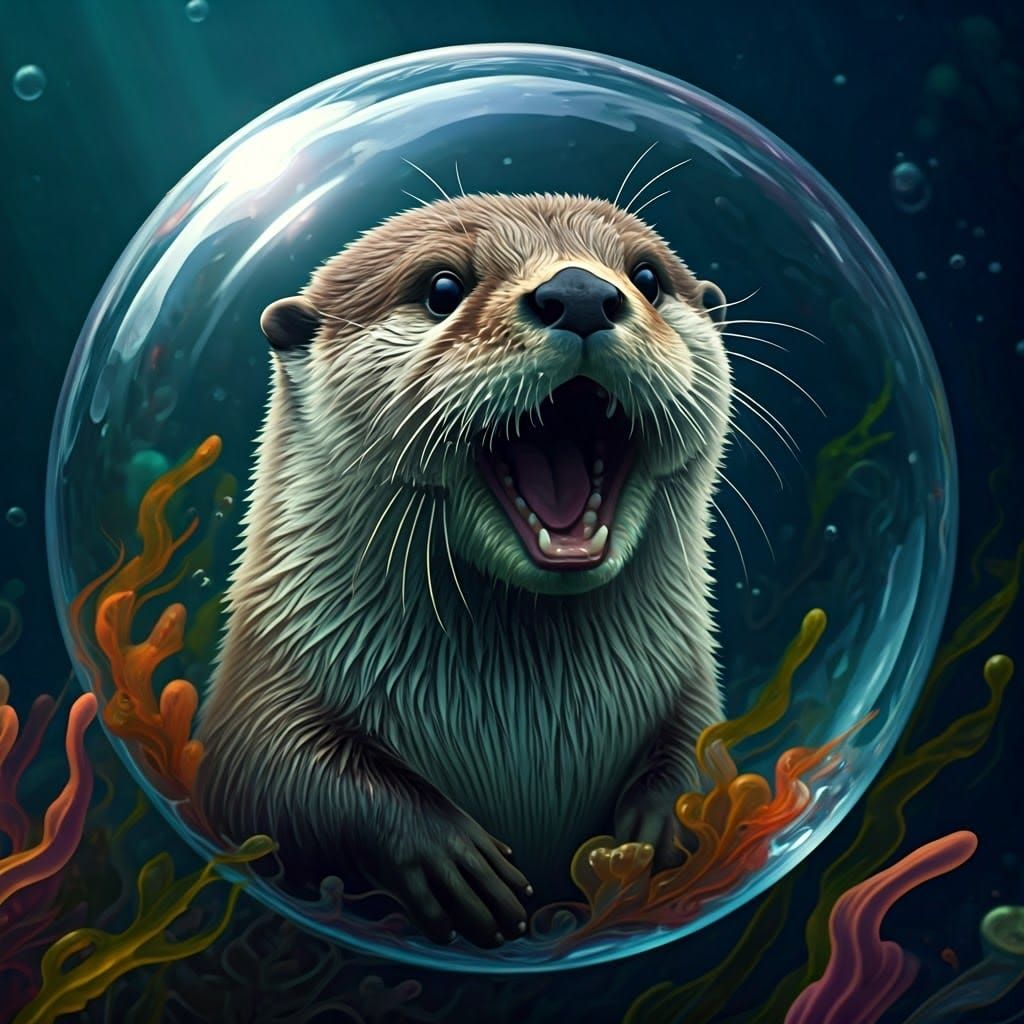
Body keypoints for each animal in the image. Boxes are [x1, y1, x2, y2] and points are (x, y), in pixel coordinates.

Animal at [195, 192, 733, 949]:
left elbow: (701, 753)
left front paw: (657, 835)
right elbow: (283, 773)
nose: (580, 293)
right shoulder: (256, 702)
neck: (525, 721)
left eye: (649, 277)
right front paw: (447, 855)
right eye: (442, 288)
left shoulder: (692, 687)